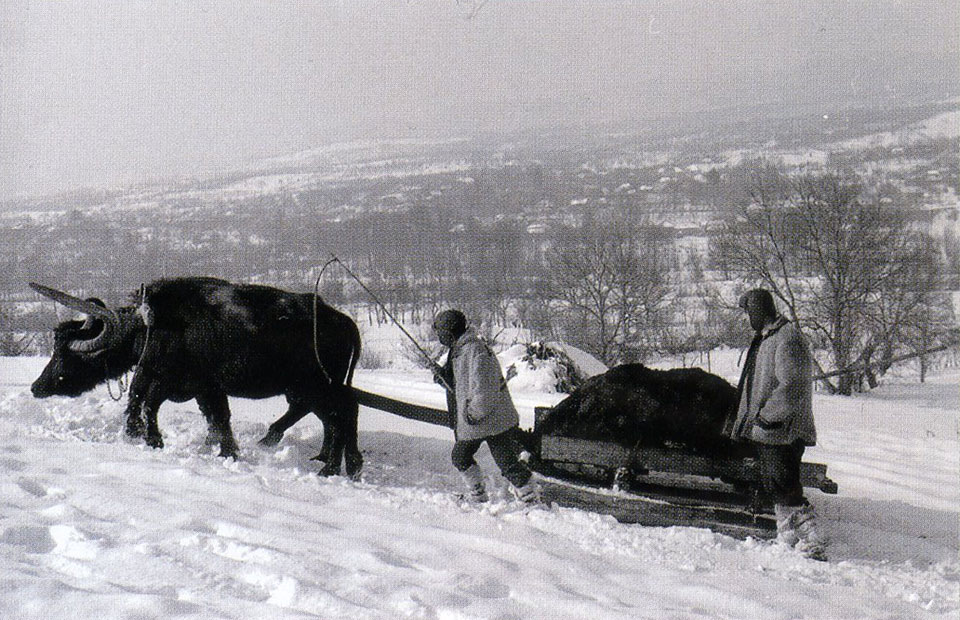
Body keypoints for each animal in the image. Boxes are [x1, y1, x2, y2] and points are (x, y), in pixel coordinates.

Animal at [30, 276, 362, 474]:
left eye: (65, 353)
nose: (36, 387)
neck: (150, 327)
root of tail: (345, 322)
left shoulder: (176, 382)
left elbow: (152, 406)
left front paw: (156, 440)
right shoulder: (199, 388)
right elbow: (213, 418)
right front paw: (219, 448)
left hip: (317, 387)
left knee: (341, 416)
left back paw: (333, 467)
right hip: (310, 389)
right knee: (334, 417)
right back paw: (333, 461)